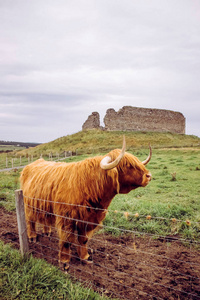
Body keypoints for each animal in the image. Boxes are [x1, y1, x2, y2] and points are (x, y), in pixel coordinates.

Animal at [20, 137, 152, 270]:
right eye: (127, 165)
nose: (149, 176)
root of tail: (31, 164)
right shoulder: (66, 218)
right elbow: (66, 240)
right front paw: (64, 262)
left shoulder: (87, 218)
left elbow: (83, 239)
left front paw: (85, 257)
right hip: (28, 204)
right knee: (30, 220)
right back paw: (32, 237)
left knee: (44, 218)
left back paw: (47, 232)